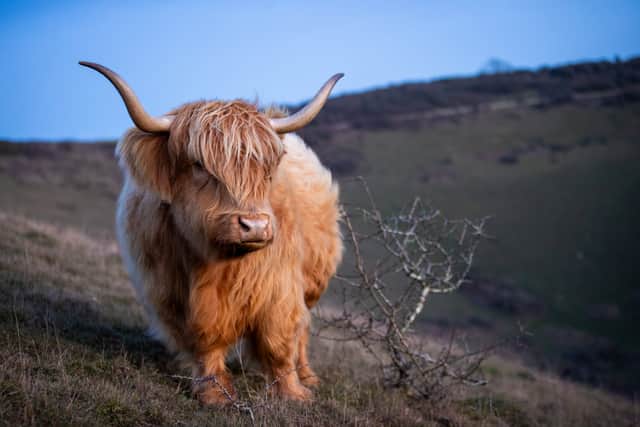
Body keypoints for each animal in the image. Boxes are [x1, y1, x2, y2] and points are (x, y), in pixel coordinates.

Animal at [80, 62, 343, 404]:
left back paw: (309, 376)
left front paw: (294, 393)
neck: (221, 263)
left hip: (312, 285)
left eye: (267, 168)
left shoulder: (281, 290)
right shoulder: (172, 297)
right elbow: (205, 341)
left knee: (303, 331)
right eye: (198, 165)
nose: (255, 226)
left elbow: (279, 341)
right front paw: (214, 393)